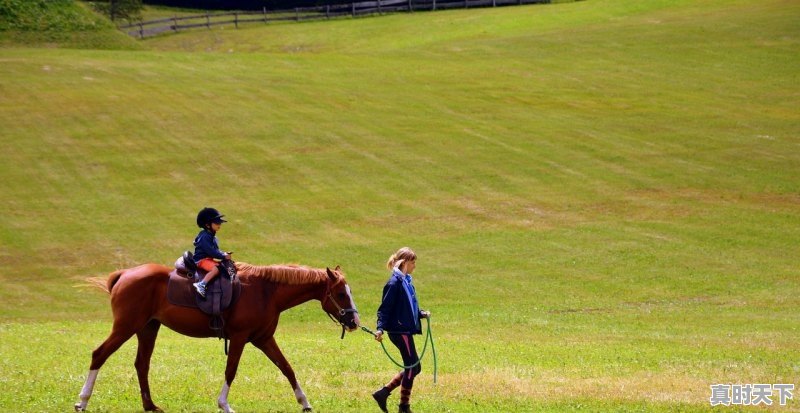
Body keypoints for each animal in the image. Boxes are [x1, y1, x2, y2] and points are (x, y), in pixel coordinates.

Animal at [75, 262, 362, 410]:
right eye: (341, 294)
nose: (355, 322)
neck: (265, 291)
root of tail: (125, 273)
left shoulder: (264, 340)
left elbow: (287, 369)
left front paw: (304, 402)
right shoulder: (239, 338)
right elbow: (230, 371)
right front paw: (224, 404)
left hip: (147, 328)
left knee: (141, 365)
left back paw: (150, 406)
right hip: (126, 327)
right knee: (99, 355)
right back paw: (82, 401)